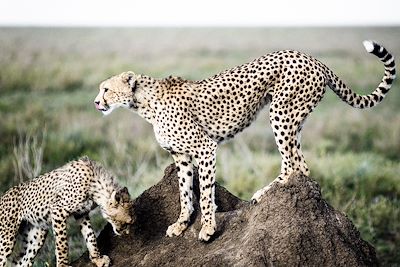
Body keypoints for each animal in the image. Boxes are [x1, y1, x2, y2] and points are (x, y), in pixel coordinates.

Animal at [0, 157, 132, 267]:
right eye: (127, 222)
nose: (125, 233)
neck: (95, 186)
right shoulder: (58, 210)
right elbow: (62, 244)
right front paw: (63, 265)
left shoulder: (81, 214)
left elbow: (90, 236)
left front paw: (97, 259)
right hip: (6, 238)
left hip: (37, 236)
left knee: (22, 262)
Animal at [94, 40, 396, 242]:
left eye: (106, 89)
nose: (96, 102)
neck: (143, 104)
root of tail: (311, 57)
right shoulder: (180, 156)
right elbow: (184, 193)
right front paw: (180, 224)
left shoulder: (205, 148)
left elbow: (205, 194)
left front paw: (207, 228)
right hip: (294, 118)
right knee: (302, 163)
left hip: (280, 112)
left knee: (293, 163)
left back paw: (263, 193)